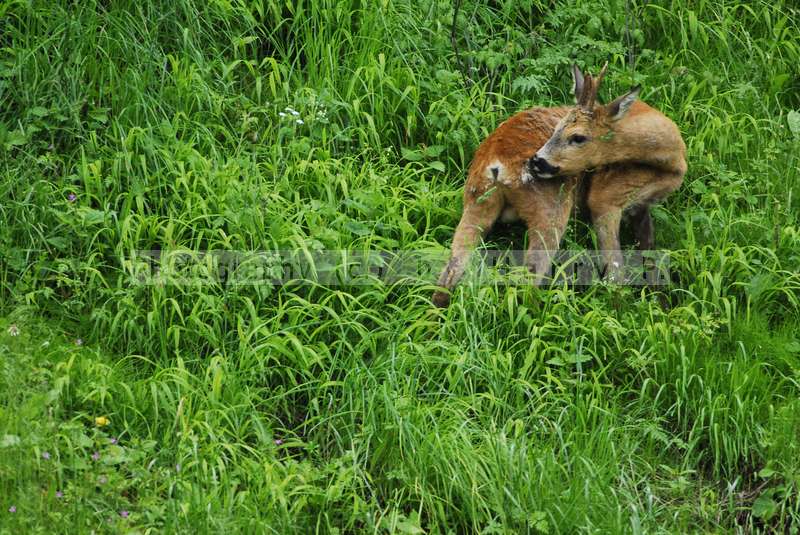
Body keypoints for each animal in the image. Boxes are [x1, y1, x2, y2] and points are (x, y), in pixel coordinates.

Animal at [434, 64, 684, 308]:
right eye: (557, 129)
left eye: (578, 137)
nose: (536, 161)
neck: (671, 161)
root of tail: (495, 164)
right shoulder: (605, 198)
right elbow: (615, 271)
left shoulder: (641, 207)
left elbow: (651, 257)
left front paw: (660, 303)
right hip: (551, 209)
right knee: (528, 280)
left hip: (477, 202)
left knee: (449, 271)